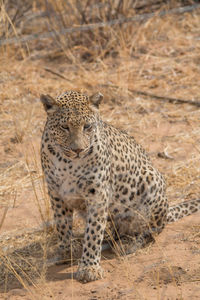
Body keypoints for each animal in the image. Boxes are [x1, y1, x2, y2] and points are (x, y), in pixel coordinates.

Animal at [39, 90, 200, 282]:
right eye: (64, 127)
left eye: (87, 126)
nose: (78, 150)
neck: (67, 162)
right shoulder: (56, 192)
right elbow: (62, 225)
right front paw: (66, 251)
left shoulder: (97, 193)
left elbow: (93, 232)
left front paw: (89, 268)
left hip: (151, 181)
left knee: (151, 230)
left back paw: (128, 243)